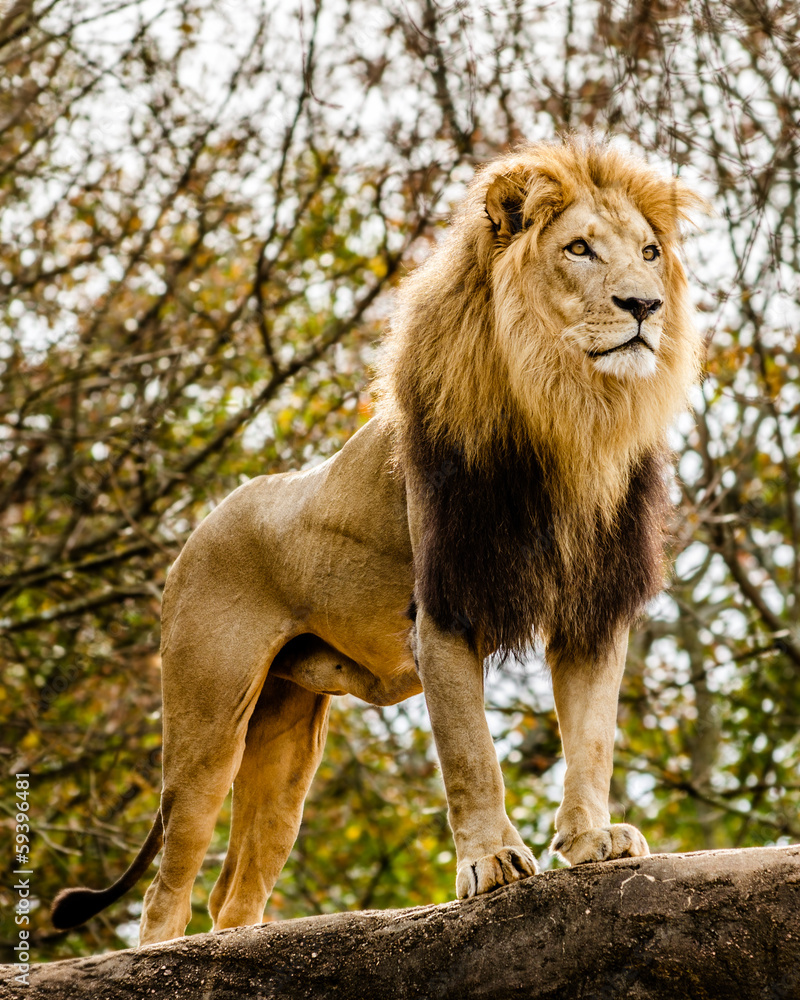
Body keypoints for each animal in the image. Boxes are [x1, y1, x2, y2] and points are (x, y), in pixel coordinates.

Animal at [52, 136, 706, 945]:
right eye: (579, 249)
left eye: (649, 253)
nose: (644, 305)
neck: (570, 417)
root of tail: (201, 527)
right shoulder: (444, 609)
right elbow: (471, 752)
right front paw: (491, 862)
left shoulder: (591, 610)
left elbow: (591, 738)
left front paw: (591, 841)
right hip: (207, 725)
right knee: (166, 888)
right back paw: (157, 955)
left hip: (288, 738)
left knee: (233, 890)